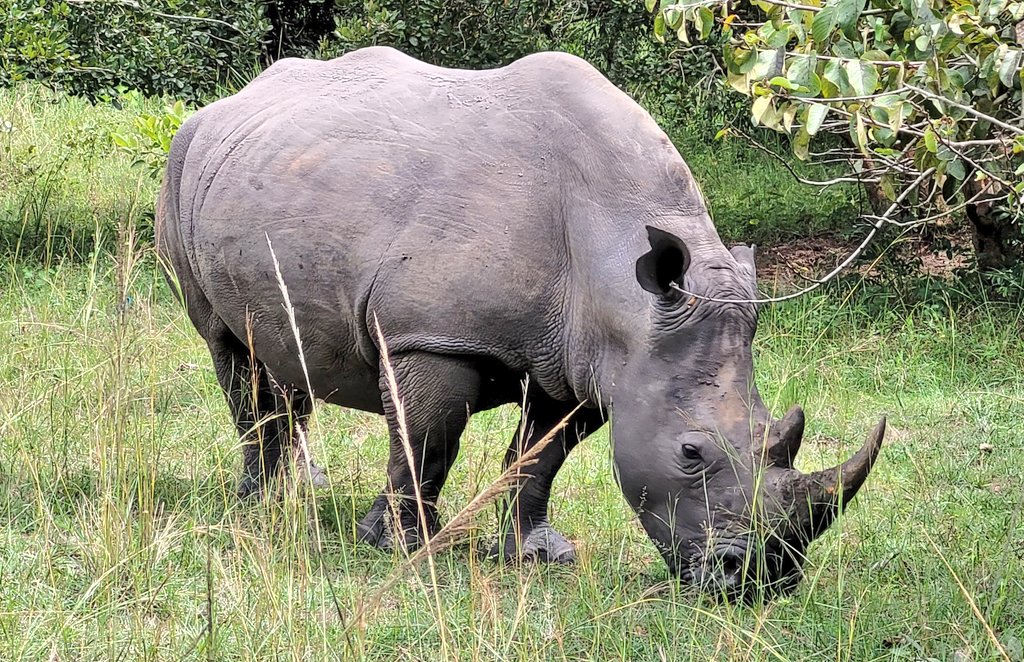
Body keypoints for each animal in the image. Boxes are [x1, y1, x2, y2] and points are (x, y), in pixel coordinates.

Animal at [156, 46, 885, 599]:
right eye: (690, 453)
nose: (762, 581)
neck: (624, 281)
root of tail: (230, 101)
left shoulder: (587, 366)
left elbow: (540, 458)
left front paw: (536, 553)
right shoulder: (434, 337)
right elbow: (428, 442)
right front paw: (402, 546)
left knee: (282, 357)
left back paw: (300, 490)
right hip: (181, 164)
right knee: (230, 352)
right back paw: (260, 509)